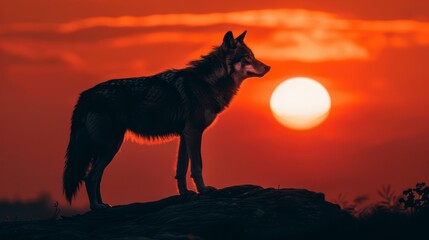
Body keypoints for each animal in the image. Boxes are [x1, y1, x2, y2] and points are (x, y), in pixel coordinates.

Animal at [61, 31, 270, 209]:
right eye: (247, 57)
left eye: (252, 56)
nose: (269, 67)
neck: (207, 82)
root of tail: (84, 95)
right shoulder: (194, 132)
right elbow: (197, 166)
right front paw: (203, 190)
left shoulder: (185, 135)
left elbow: (181, 169)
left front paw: (185, 194)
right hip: (111, 145)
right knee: (90, 177)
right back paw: (97, 207)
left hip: (106, 148)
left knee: (95, 177)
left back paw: (102, 204)